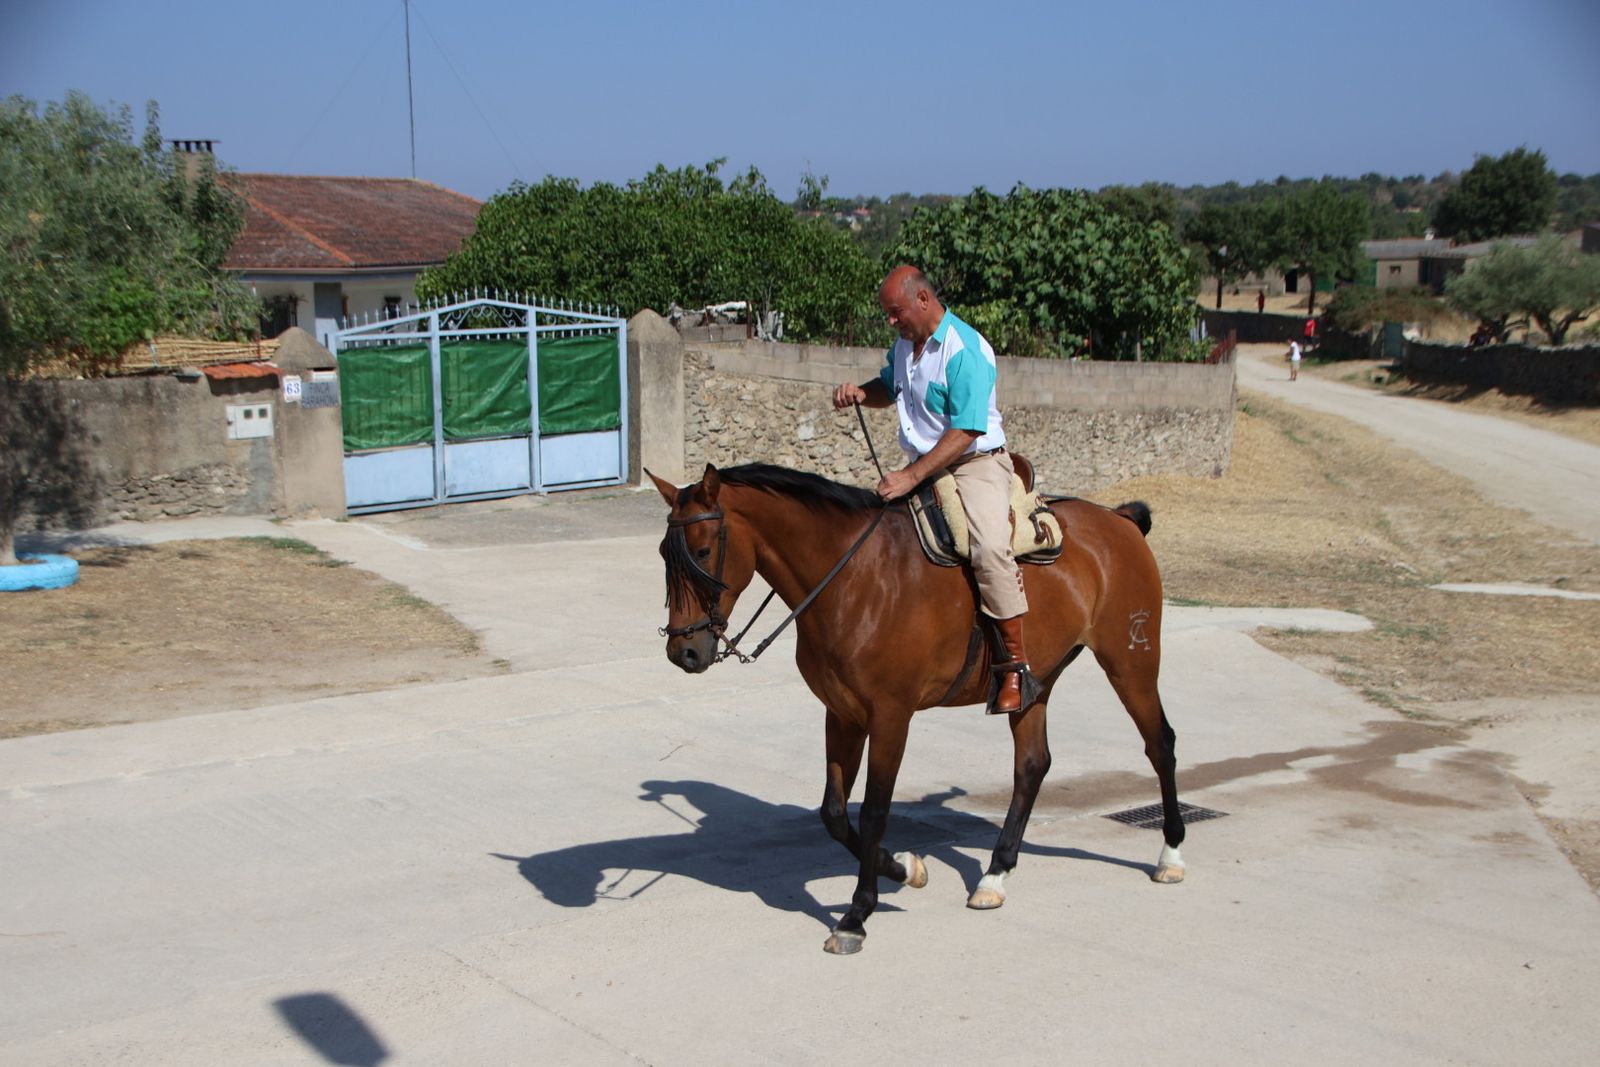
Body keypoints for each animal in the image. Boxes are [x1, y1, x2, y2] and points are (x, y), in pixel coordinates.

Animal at [649, 461, 1185, 955]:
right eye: (662, 554)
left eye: (701, 551)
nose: (683, 652)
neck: (854, 580)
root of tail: (1119, 520)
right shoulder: (842, 714)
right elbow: (835, 813)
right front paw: (904, 868)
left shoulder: (890, 717)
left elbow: (874, 813)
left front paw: (857, 915)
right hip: (1036, 682)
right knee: (1032, 765)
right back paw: (994, 875)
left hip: (1131, 661)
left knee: (1160, 745)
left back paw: (1170, 854)